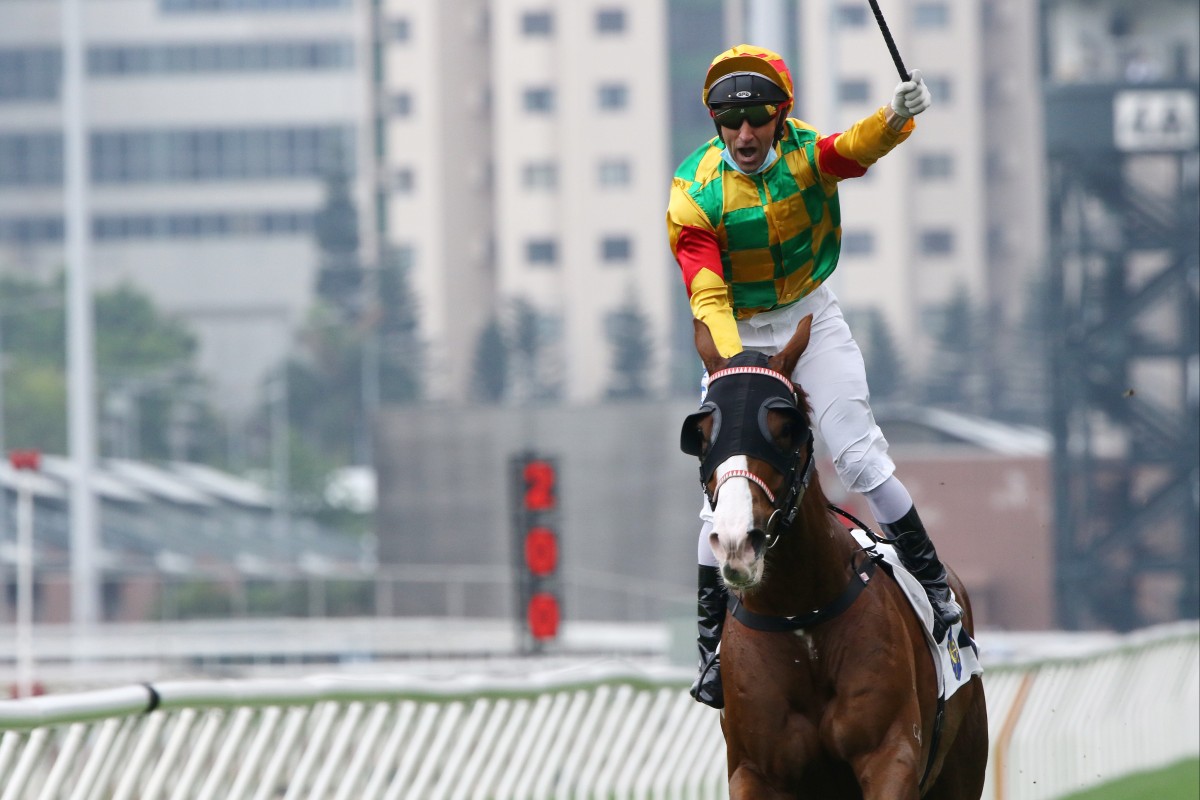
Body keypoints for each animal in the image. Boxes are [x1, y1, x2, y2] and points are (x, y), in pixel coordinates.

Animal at [681, 316, 988, 796]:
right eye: (702, 435)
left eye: (784, 428)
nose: (736, 541)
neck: (798, 613)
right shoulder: (753, 771)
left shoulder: (890, 757)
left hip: (962, 767)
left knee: (863, 462)